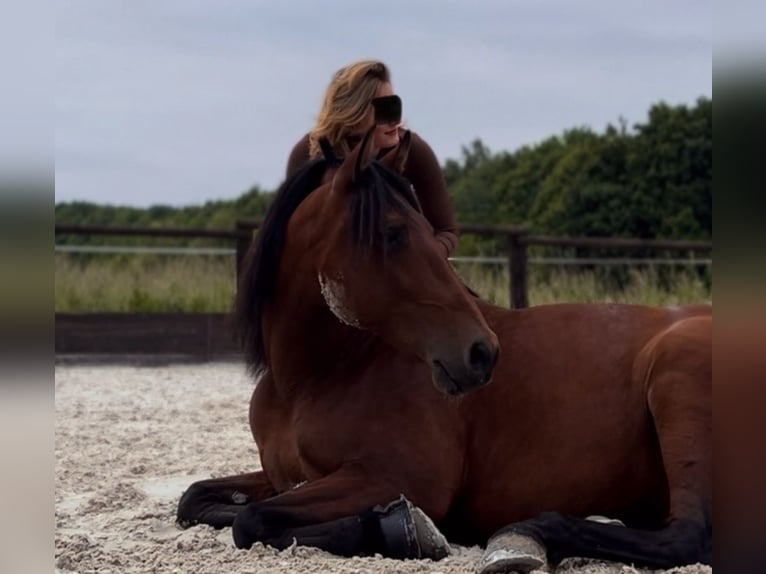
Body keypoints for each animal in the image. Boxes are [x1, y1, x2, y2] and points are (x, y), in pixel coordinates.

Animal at [178, 128, 712, 572]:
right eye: (393, 232)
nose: (481, 353)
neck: (319, 376)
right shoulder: (289, 476)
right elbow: (199, 500)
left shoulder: (394, 478)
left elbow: (254, 521)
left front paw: (403, 529)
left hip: (677, 379)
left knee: (685, 536)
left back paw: (527, 534)